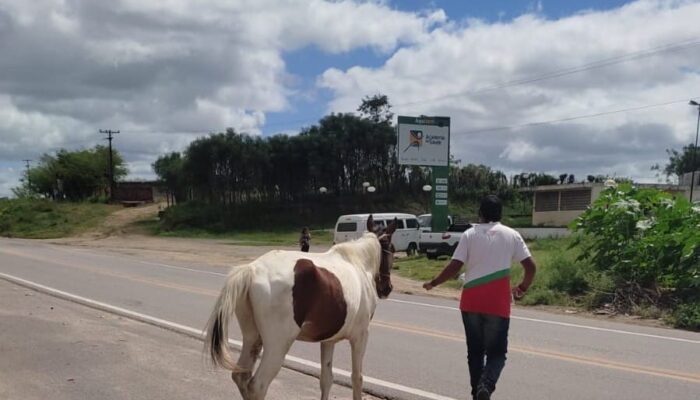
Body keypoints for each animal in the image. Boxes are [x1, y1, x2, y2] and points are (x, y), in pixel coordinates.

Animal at [205, 216, 396, 400]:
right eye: (392, 249)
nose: (387, 288)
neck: (358, 264)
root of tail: (251, 270)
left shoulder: (328, 340)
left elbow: (326, 379)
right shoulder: (360, 336)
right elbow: (357, 378)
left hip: (252, 338)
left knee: (241, 377)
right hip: (278, 345)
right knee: (257, 386)